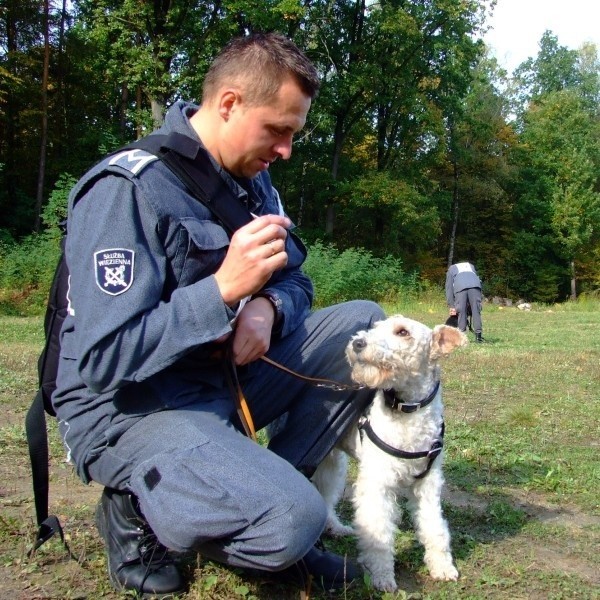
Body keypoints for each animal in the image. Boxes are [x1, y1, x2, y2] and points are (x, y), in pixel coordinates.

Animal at [312, 314, 466, 592]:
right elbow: (378, 532)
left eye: (402, 332)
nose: (358, 343)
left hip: (332, 460)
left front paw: (443, 567)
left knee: (326, 496)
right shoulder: (378, 483)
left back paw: (336, 528)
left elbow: (434, 526)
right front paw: (381, 576)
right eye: (376, 327)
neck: (408, 410)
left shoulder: (428, 486)